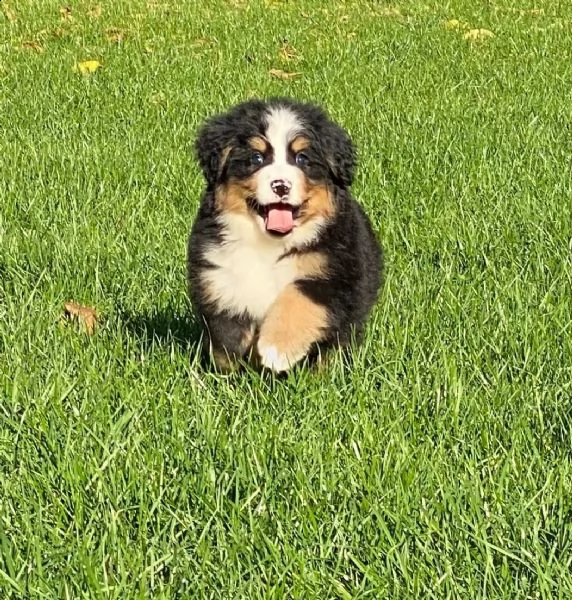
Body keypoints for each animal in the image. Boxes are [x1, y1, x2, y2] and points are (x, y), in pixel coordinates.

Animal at [189, 96, 384, 372]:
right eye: (256, 158)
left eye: (302, 158)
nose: (281, 186)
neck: (270, 245)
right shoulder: (217, 266)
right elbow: (228, 316)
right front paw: (230, 366)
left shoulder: (334, 275)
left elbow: (299, 300)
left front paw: (276, 349)